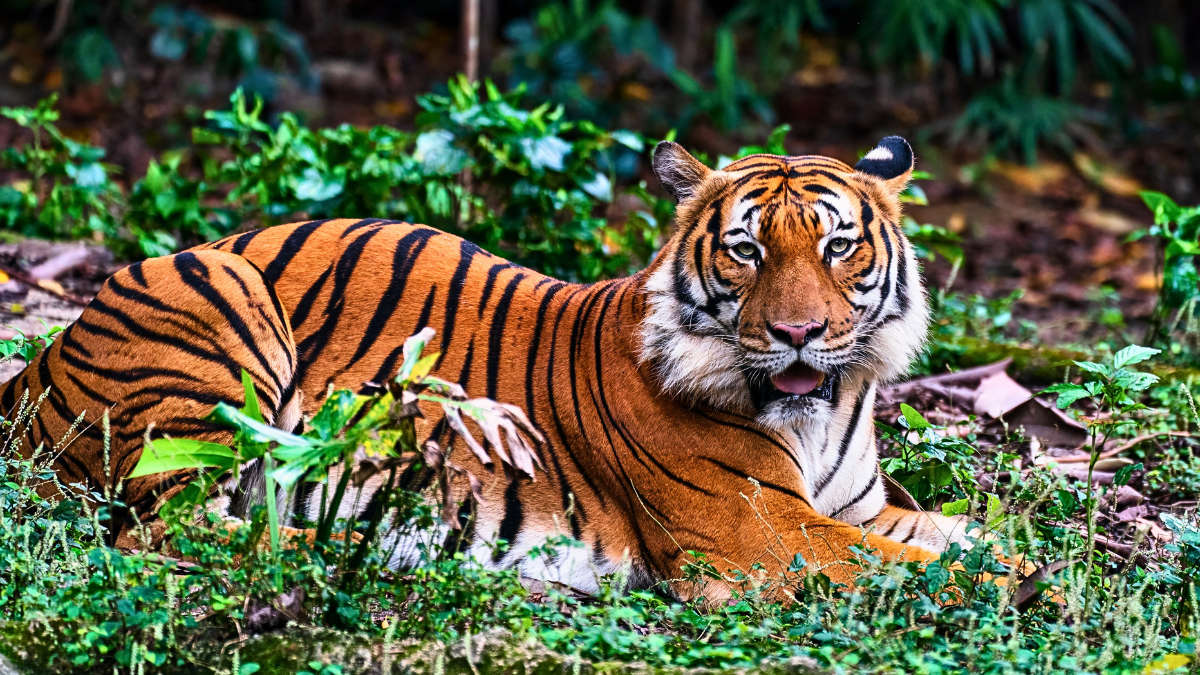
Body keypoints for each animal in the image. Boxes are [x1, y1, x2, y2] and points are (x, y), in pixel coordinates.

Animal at [0, 136, 975, 602]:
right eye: (746, 249)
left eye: (838, 245)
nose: (800, 332)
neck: (822, 409)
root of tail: (41, 357)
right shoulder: (763, 535)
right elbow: (937, 568)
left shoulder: (855, 511)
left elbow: (960, 538)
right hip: (223, 306)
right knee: (173, 530)